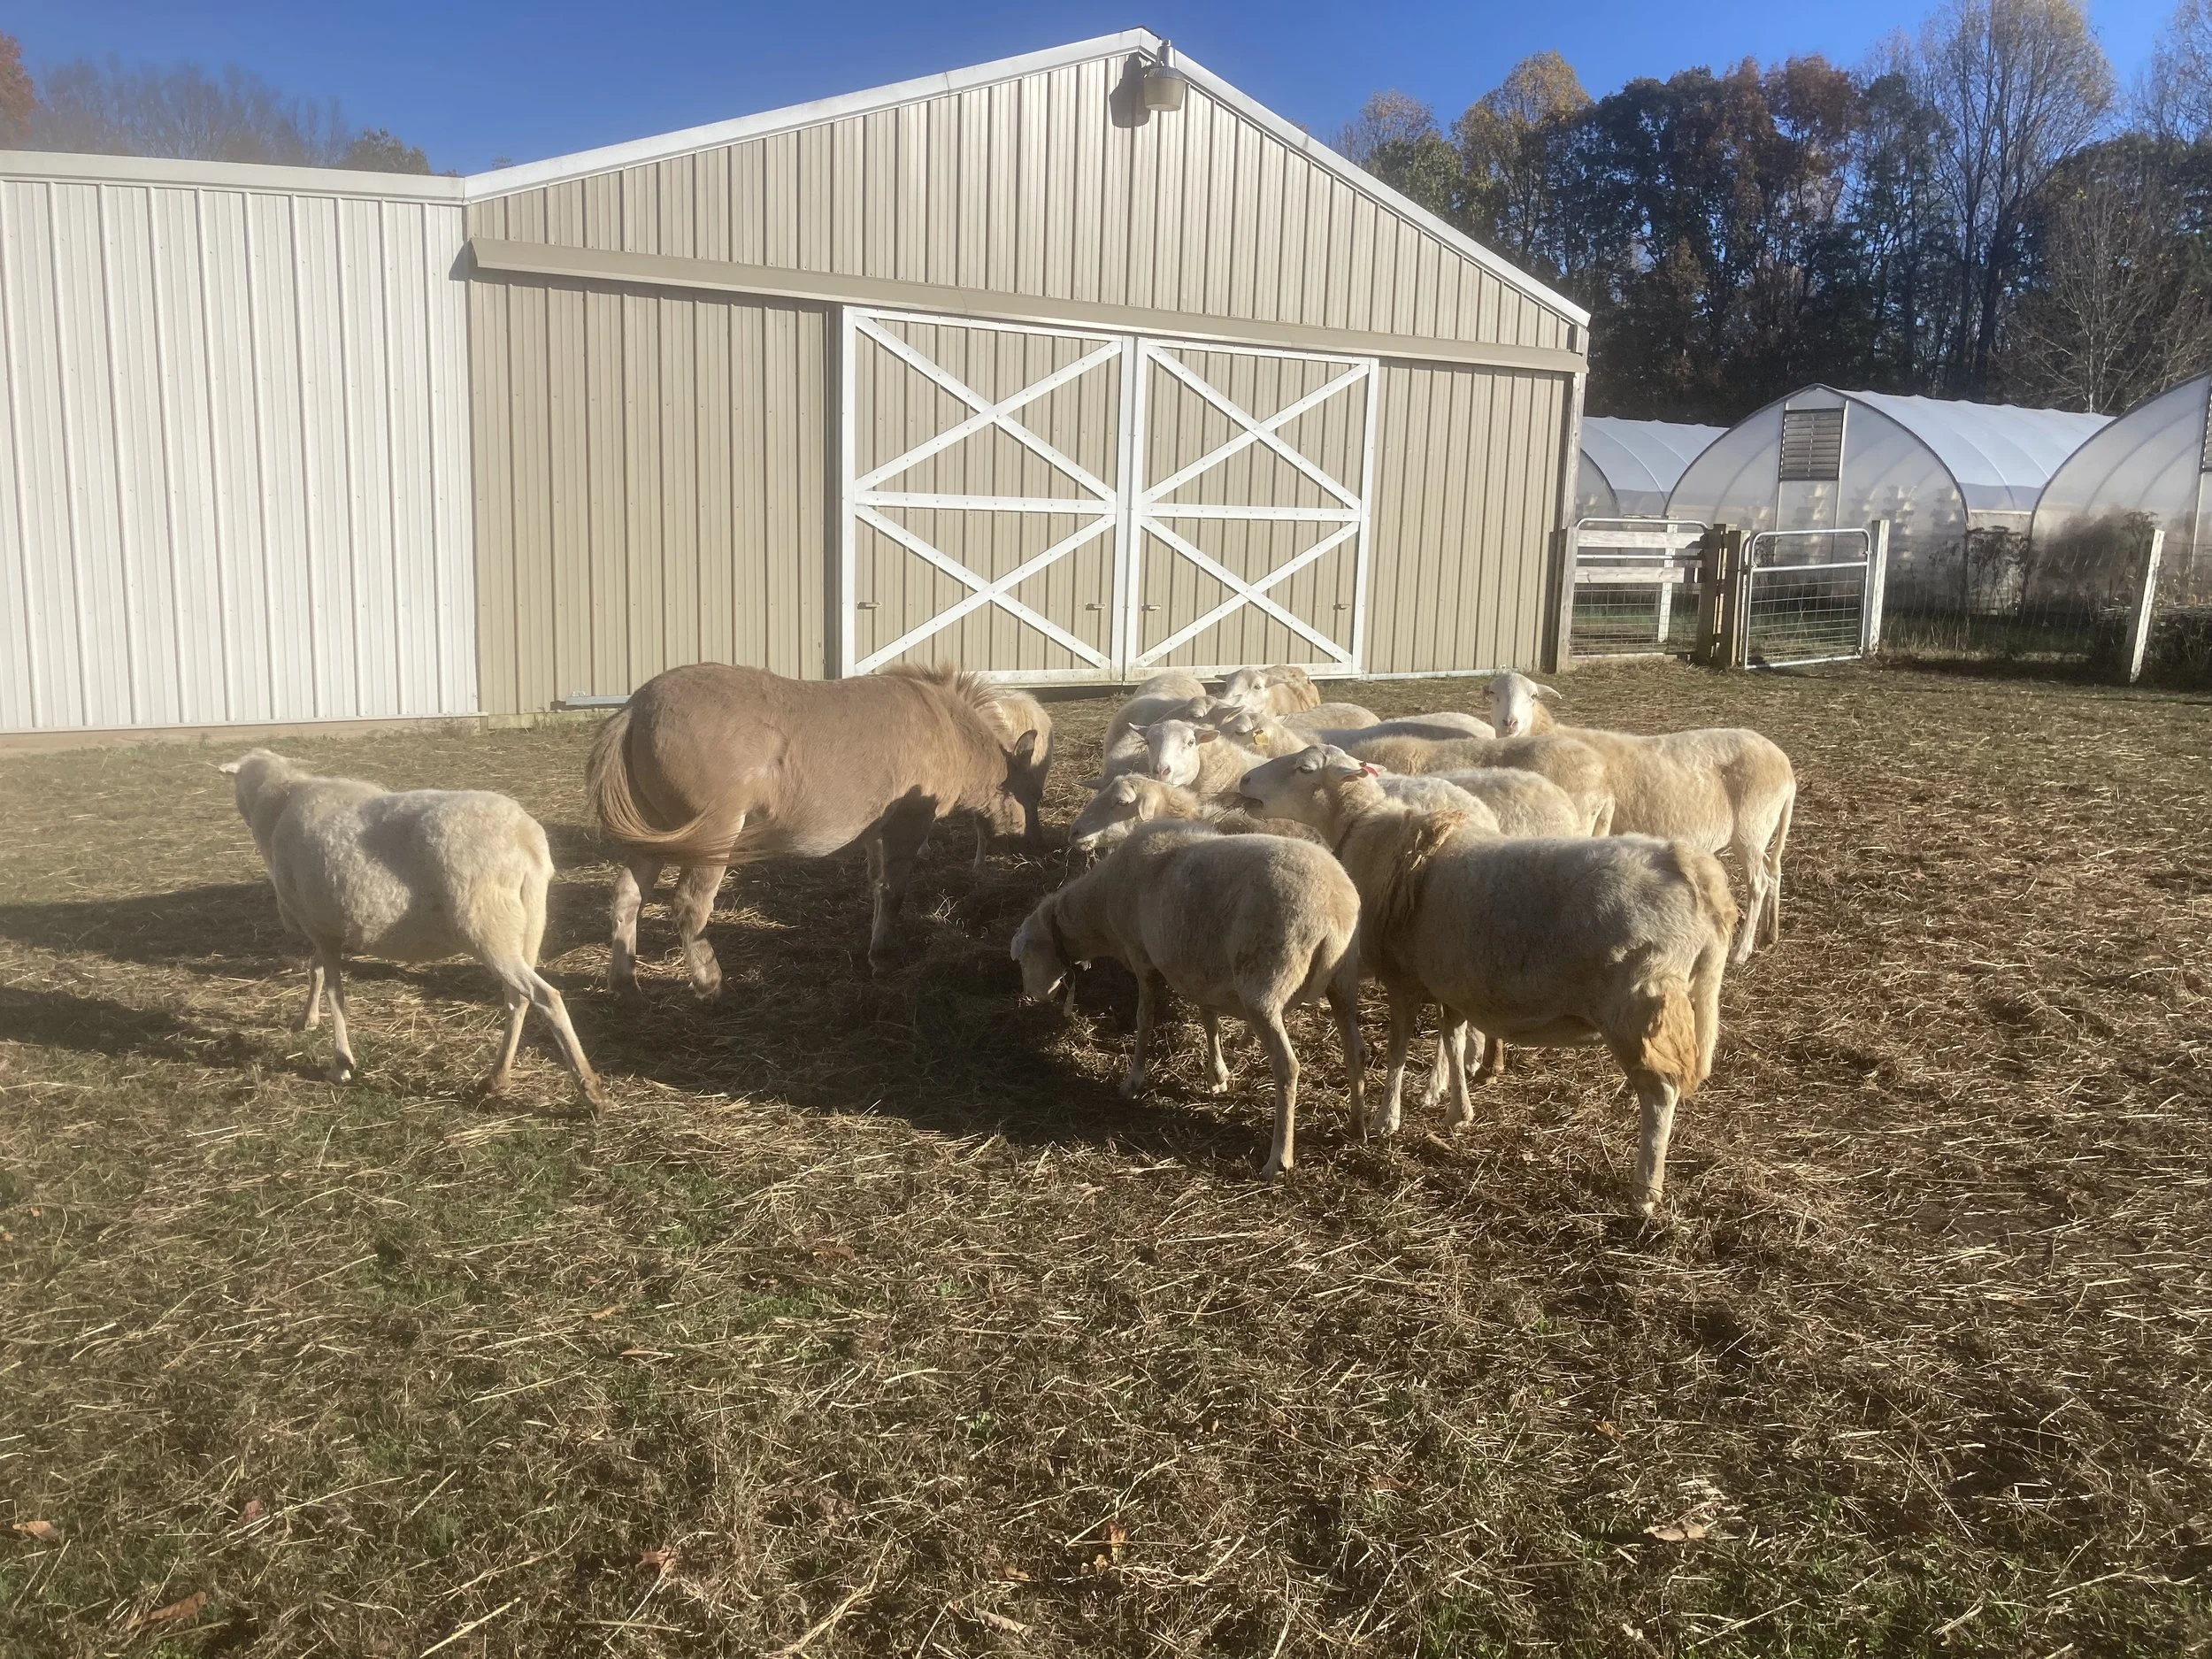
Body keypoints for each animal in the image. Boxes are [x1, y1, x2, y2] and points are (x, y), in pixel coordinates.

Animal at [219, 749, 604, 1110]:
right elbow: (316, 972)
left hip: (487, 928)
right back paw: (497, 1078)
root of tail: (525, 838)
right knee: (519, 999)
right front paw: (307, 1020)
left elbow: (334, 993)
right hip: (525, 929)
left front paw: (340, 1063)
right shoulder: (327, 927)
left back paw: (589, 1089)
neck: (277, 803)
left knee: (546, 997)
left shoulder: (320, 926)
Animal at [1009, 818, 1363, 1177]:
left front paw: (1133, 1081)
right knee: (1355, 1052)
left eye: (1023, 958)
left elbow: (1144, 1020)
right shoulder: (1197, 968)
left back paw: (1279, 1157)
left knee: (1287, 1066)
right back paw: (1357, 1127)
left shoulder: (1142, 959)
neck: (1101, 911)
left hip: (1264, 984)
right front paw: (1217, 1075)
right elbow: (1208, 1018)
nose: (1030, 996)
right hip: (1344, 981)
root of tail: (1334, 912)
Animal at [1236, 746, 1736, 1213]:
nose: (1243, 781)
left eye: (1304, 769)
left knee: (1660, 1096)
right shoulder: (1448, 980)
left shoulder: (1403, 979)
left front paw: (1386, 1119)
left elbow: (1399, 1049)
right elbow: (1454, 1041)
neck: (1366, 826)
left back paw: (1645, 1190)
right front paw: (1458, 1111)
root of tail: (1691, 870)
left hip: (1637, 1007)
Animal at [1486, 671, 1796, 962]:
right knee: (1773, 870)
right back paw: (1770, 933)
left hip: (1751, 826)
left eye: (1533, 696)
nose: (1510, 723)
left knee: (1758, 884)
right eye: (1493, 694)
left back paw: (1742, 950)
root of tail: (1785, 766)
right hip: (1758, 830)